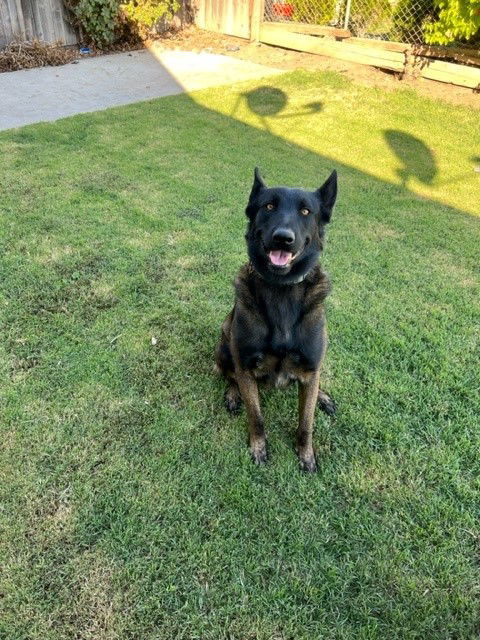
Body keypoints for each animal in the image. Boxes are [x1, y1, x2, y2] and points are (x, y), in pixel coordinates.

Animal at [215, 168, 338, 472]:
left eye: (306, 211)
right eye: (269, 206)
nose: (283, 238)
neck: (282, 289)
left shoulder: (310, 367)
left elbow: (306, 423)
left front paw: (305, 454)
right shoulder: (246, 367)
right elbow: (256, 416)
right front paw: (258, 447)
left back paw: (323, 396)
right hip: (224, 340)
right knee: (229, 374)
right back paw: (233, 394)